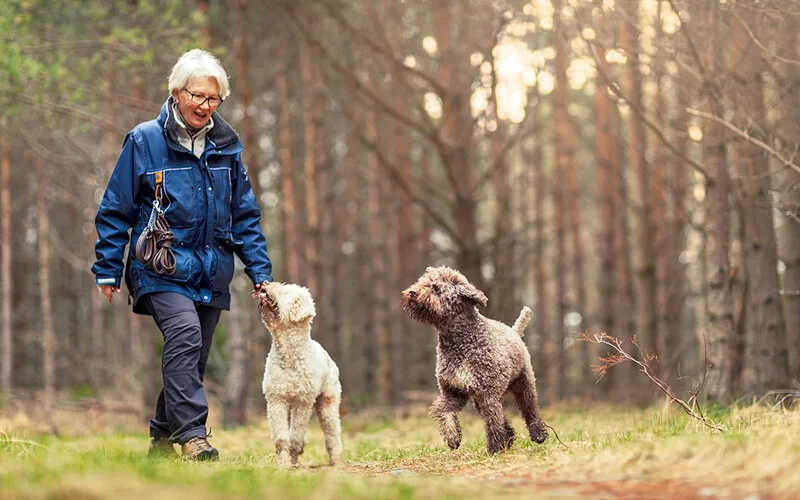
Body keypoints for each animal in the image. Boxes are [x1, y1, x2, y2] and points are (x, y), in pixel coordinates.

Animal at [256, 284, 344, 466]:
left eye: (286, 291)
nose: (265, 283)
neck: (289, 355)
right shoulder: (276, 400)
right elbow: (282, 437)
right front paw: (284, 463)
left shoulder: (302, 402)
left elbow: (295, 436)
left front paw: (292, 458)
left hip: (328, 403)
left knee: (332, 434)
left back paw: (336, 460)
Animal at [404, 268, 548, 456]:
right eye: (422, 282)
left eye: (436, 288)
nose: (412, 292)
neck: (459, 342)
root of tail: (514, 331)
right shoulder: (454, 391)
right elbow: (443, 411)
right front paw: (453, 437)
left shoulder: (487, 393)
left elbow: (492, 423)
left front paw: (494, 449)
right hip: (479, 399)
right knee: (503, 417)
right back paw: (509, 438)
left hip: (523, 384)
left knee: (530, 410)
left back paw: (538, 434)